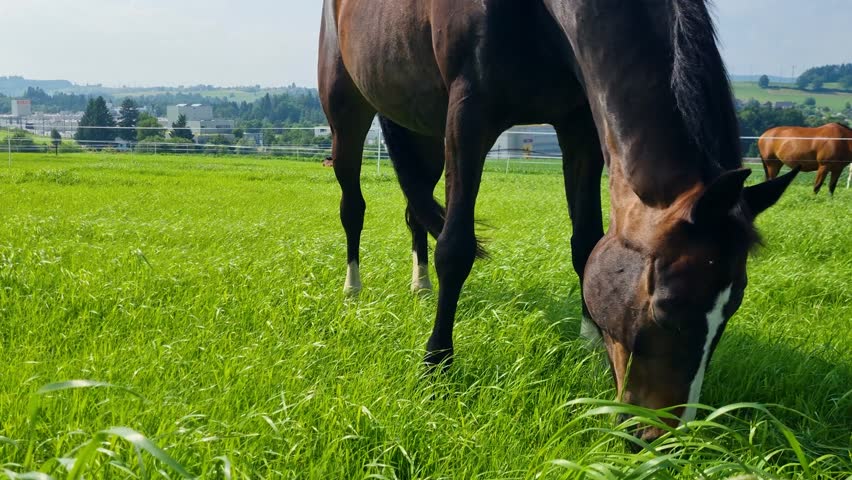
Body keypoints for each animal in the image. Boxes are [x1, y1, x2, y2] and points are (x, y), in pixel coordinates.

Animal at [318, 0, 798, 443]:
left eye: (731, 310)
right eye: (666, 306)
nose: (662, 436)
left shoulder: (579, 124)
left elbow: (585, 242)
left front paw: (589, 343)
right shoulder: (468, 115)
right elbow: (455, 248)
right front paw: (437, 363)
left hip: (422, 129)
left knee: (414, 206)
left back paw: (419, 284)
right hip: (349, 112)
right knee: (353, 207)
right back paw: (352, 288)